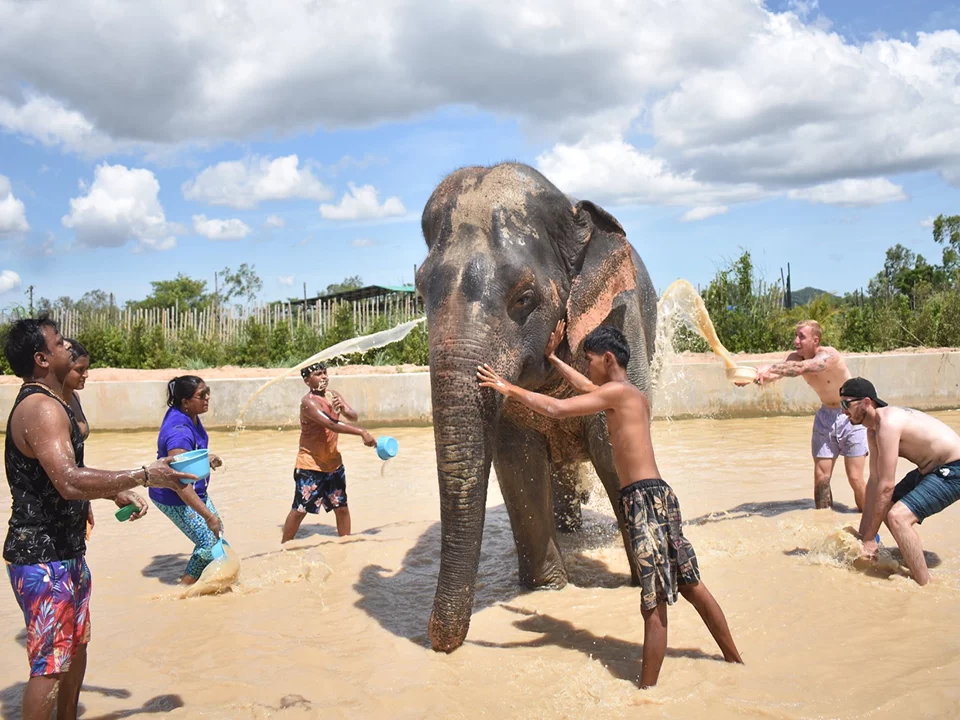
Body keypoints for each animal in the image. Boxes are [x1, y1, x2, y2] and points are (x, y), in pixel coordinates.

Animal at [416, 162, 658, 653]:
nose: (439, 645)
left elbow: (612, 445)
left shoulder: (621, 319)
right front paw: (548, 589)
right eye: (418, 293)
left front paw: (639, 583)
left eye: (524, 298)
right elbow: (517, 460)